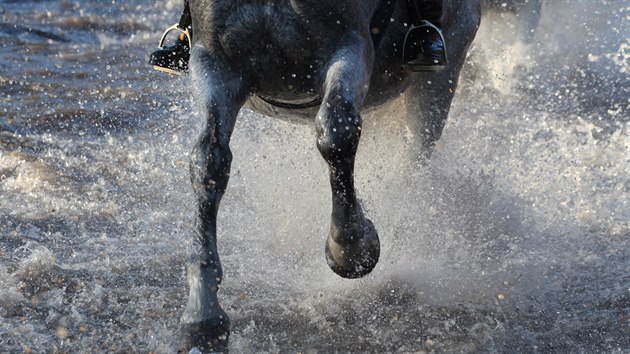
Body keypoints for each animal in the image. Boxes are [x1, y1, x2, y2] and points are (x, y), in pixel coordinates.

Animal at [175, 0, 482, 352]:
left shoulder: (349, 46)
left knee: (413, 164)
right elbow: (208, 162)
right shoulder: (215, 64)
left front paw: (352, 248)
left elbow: (337, 130)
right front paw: (202, 317)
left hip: (439, 80)